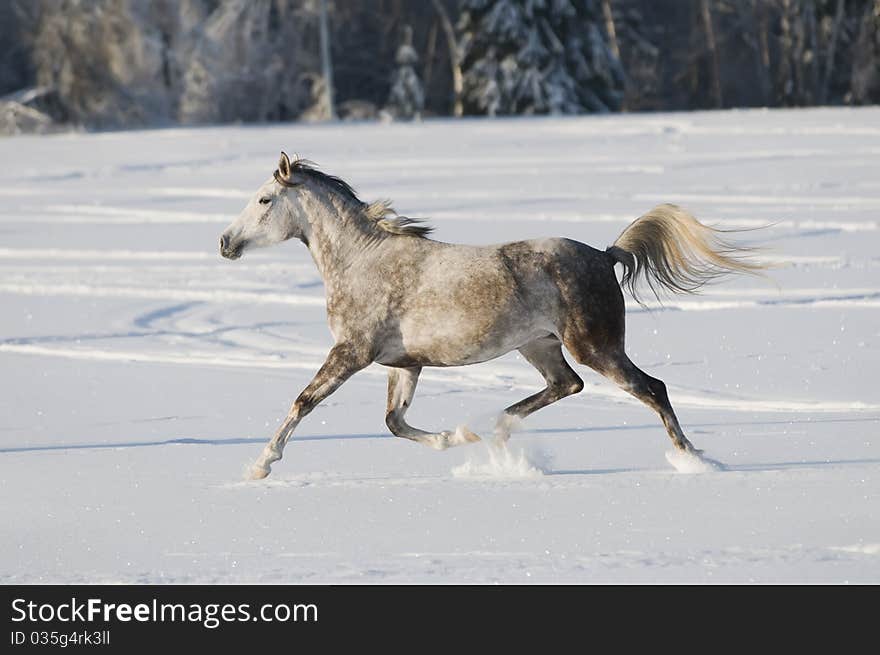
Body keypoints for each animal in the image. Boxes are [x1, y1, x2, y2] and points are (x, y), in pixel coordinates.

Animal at [220, 154, 764, 482]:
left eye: (264, 200)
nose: (226, 242)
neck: (362, 260)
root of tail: (604, 255)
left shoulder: (352, 353)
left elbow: (304, 402)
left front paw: (259, 466)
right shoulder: (405, 363)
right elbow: (395, 421)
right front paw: (456, 438)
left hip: (597, 347)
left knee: (652, 389)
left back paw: (693, 458)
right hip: (539, 344)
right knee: (566, 386)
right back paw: (497, 432)